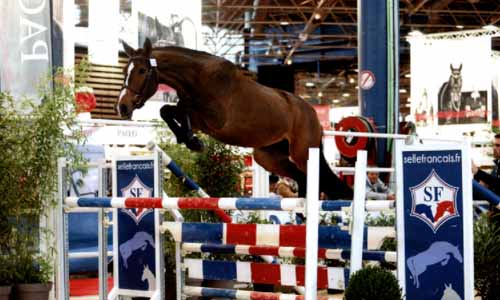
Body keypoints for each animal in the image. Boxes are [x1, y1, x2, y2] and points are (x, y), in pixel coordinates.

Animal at [116, 38, 352, 200]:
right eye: (125, 70)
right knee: (302, 178)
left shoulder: (213, 121)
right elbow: (168, 110)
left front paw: (193, 141)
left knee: (316, 178)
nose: (122, 106)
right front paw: (189, 139)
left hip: (303, 153)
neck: (198, 78)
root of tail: (312, 113)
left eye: (142, 70)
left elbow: (178, 109)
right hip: (268, 157)